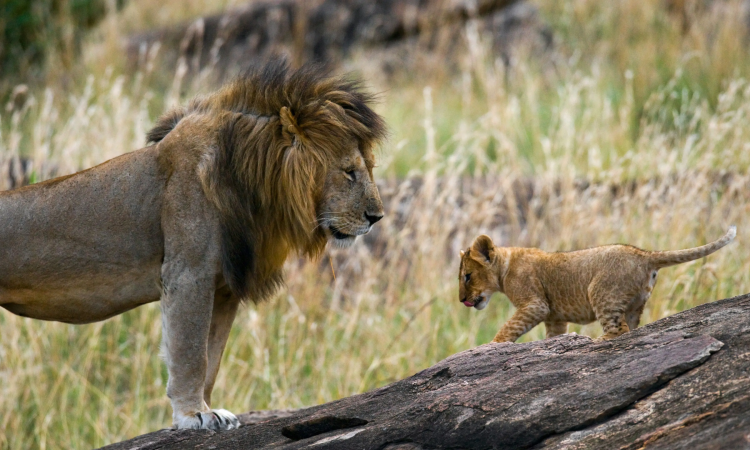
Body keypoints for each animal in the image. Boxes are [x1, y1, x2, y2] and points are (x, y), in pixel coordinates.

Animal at [0, 61, 387, 430]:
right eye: (350, 172)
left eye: (367, 168)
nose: (377, 217)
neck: (253, 186)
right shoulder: (188, 273)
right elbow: (190, 353)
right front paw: (192, 415)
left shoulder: (224, 287)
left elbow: (211, 357)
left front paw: (210, 410)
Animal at [458, 227, 736, 343]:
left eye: (467, 276)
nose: (462, 300)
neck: (505, 266)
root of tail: (644, 254)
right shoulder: (554, 318)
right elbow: (552, 335)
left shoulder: (535, 304)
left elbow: (509, 328)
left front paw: (492, 346)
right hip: (635, 304)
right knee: (631, 327)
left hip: (600, 291)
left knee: (618, 330)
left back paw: (596, 341)